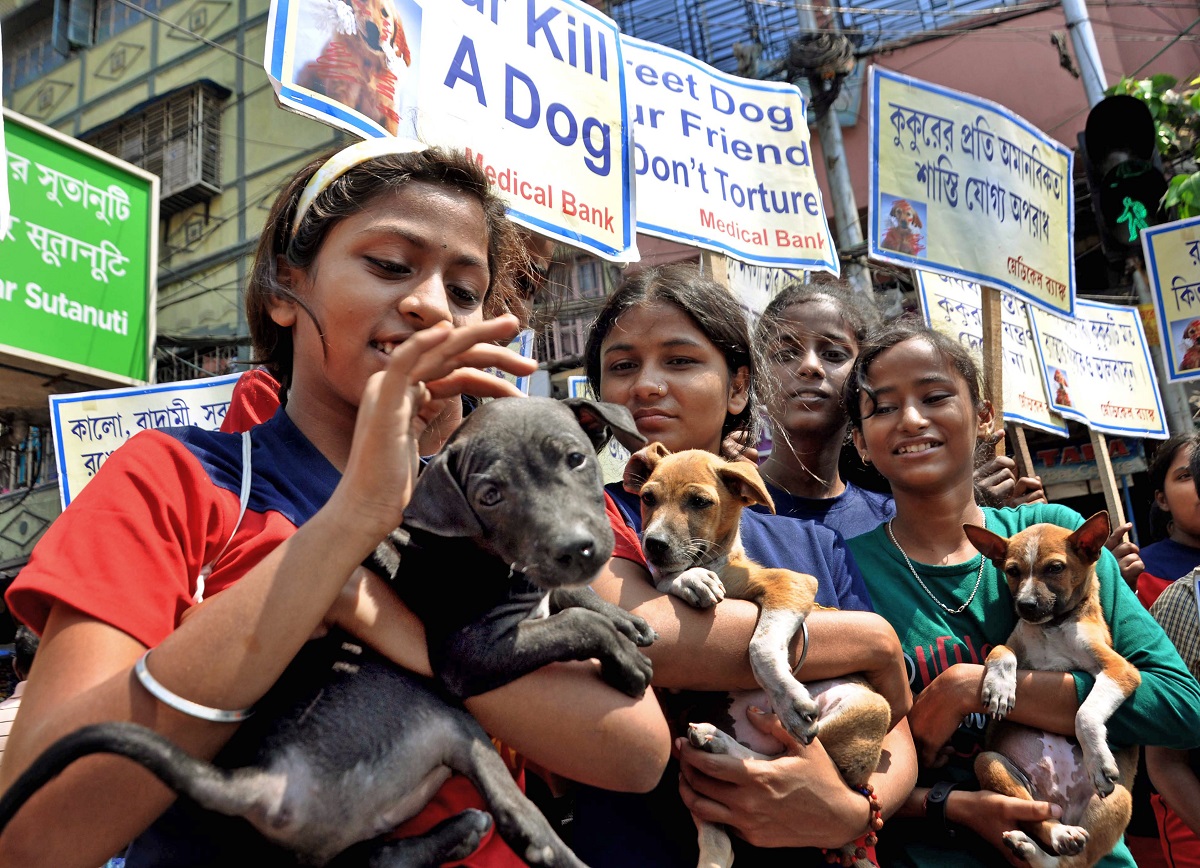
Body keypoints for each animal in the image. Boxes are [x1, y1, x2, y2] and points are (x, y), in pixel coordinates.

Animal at [0, 398, 652, 868]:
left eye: (575, 459)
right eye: (490, 496)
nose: (577, 548)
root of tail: (262, 780)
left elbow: (570, 598)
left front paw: (623, 618)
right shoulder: (465, 655)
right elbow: (570, 621)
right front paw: (622, 654)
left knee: (360, 861)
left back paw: (453, 835)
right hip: (446, 719)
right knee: (516, 814)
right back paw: (544, 848)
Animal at [619, 444, 892, 868]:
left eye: (699, 502)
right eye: (648, 498)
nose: (653, 544)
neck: (717, 563)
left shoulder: (791, 583)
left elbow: (760, 645)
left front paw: (788, 699)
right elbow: (664, 580)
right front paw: (687, 580)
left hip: (866, 710)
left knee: (792, 762)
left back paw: (723, 739)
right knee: (722, 839)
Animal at [960, 509, 1137, 868]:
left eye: (1055, 568)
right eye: (1012, 571)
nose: (1025, 605)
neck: (1052, 628)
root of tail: (1064, 806)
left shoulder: (1120, 670)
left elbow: (1085, 713)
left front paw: (1098, 760)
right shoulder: (1014, 643)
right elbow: (1000, 651)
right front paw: (999, 687)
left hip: (1118, 799)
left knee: (1073, 862)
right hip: (989, 763)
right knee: (1041, 820)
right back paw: (1043, 840)